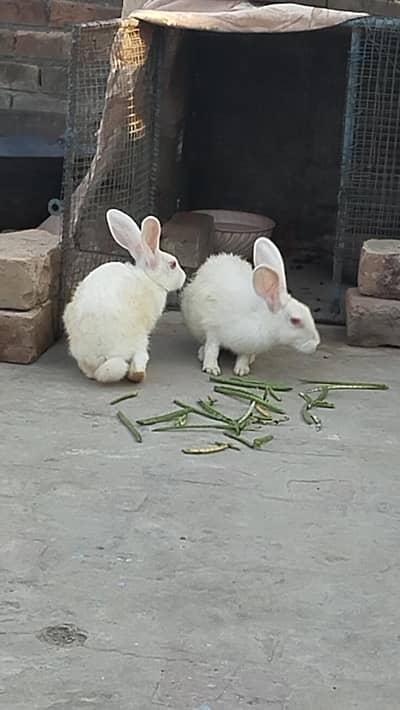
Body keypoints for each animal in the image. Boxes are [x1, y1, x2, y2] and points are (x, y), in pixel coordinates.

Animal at [63, 208, 186, 383]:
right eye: (173, 265)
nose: (183, 277)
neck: (149, 278)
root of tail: (100, 358)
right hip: (140, 340)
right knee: (137, 360)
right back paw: (138, 374)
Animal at [181, 236, 320, 376]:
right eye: (295, 320)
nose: (316, 344)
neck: (260, 318)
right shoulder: (213, 329)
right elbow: (212, 349)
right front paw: (211, 368)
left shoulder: (248, 346)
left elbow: (243, 356)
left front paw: (242, 370)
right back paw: (201, 353)